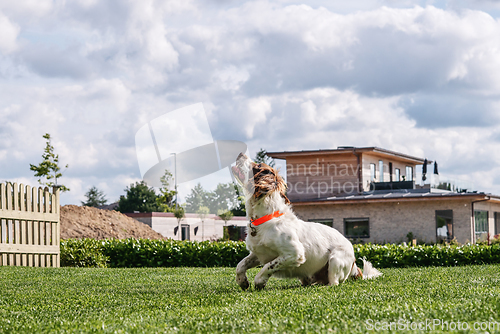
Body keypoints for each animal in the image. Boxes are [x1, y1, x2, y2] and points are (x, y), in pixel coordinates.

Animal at [232, 154, 380, 290]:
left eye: (258, 166)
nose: (240, 154)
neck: (266, 217)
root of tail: (355, 266)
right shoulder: (258, 253)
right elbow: (240, 265)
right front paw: (242, 281)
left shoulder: (294, 254)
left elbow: (268, 267)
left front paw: (260, 282)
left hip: (335, 259)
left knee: (334, 283)